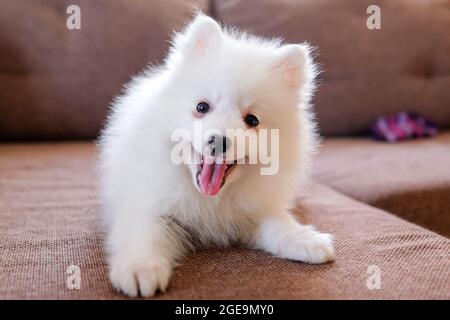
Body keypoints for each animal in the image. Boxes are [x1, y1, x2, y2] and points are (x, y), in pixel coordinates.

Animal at [100, 13, 336, 296]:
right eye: (202, 107)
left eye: (252, 120)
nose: (219, 141)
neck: (212, 200)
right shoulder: (151, 207)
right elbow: (145, 235)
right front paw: (139, 269)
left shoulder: (255, 210)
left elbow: (278, 223)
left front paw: (306, 239)